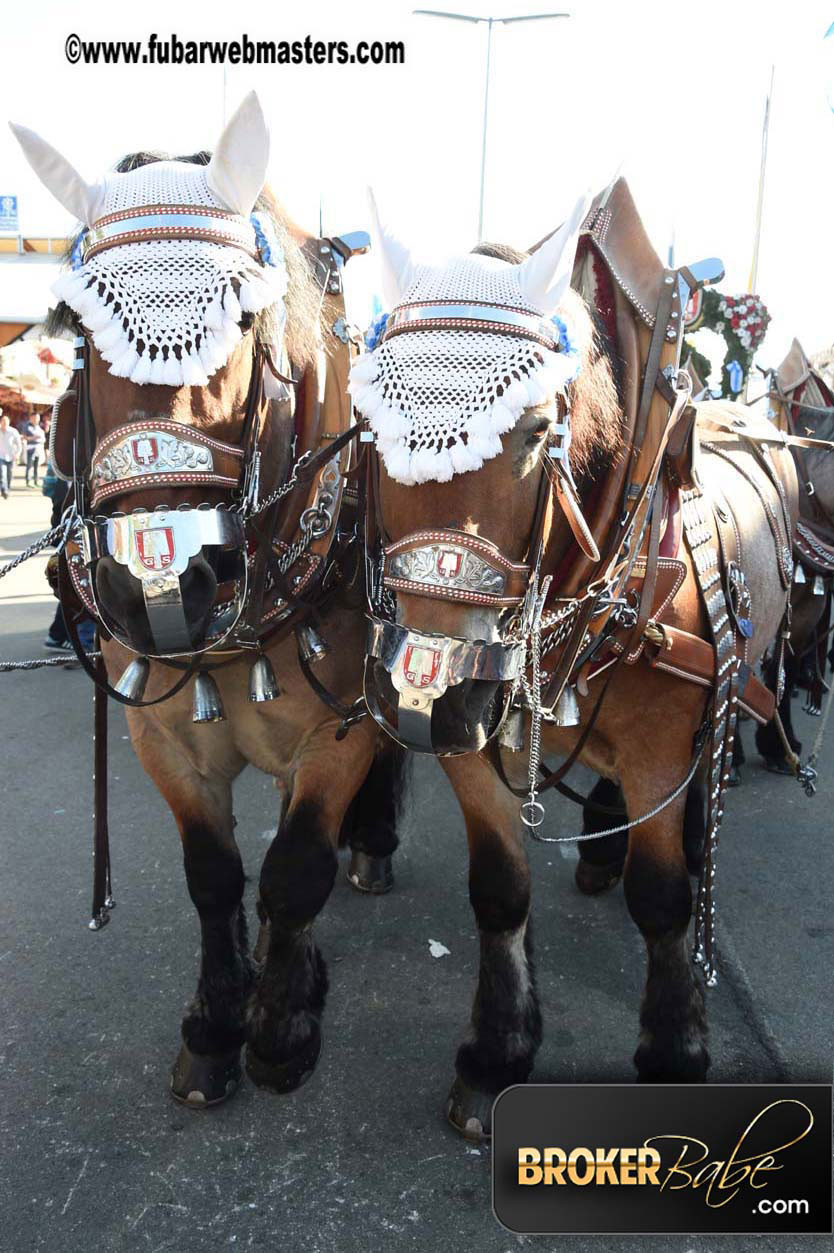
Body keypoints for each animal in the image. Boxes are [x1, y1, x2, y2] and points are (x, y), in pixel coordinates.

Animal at [12, 102, 403, 1112]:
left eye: (243, 313)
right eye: (78, 328)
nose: (160, 574)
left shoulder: (338, 730)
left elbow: (295, 868)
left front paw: (281, 1027)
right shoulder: (163, 737)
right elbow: (216, 874)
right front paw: (218, 1025)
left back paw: (374, 844)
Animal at [353, 192, 796, 1137]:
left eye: (531, 433)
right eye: (370, 427)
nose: (426, 686)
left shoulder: (663, 734)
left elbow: (662, 901)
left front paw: (674, 1050)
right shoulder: (473, 740)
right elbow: (499, 890)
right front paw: (496, 1053)